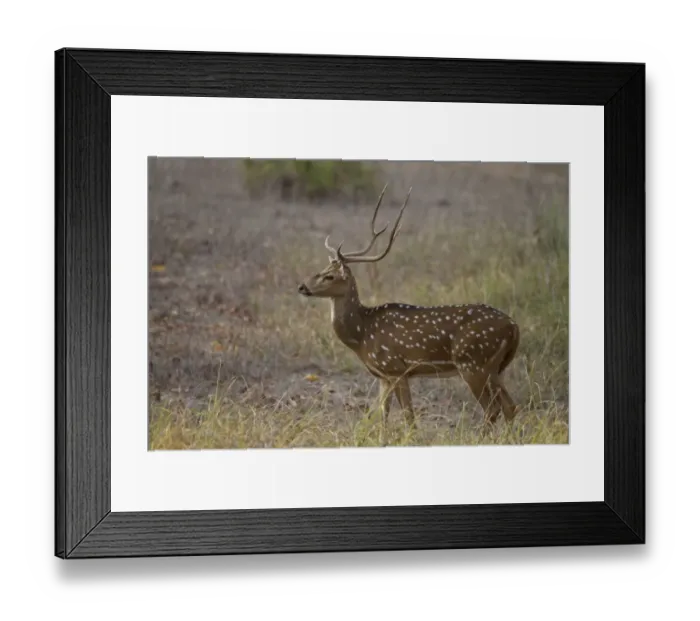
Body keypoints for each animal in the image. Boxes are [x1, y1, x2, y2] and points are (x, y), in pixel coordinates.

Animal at [297, 184, 521, 434]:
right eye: (321, 269)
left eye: (330, 276)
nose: (302, 286)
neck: (362, 334)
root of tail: (514, 327)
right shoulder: (383, 376)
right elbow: (380, 417)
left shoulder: (396, 368)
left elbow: (409, 418)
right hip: (495, 368)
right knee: (510, 407)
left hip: (473, 362)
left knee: (493, 409)